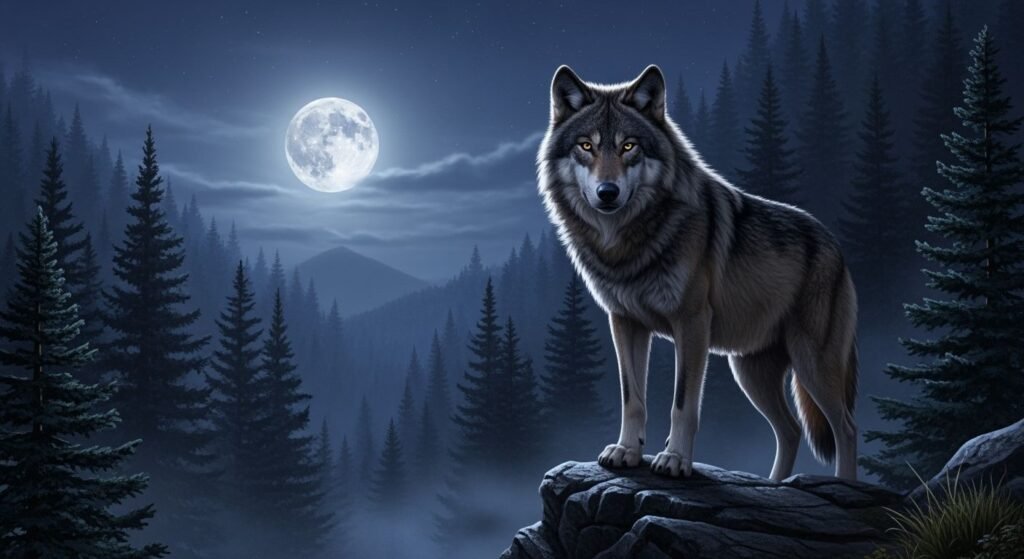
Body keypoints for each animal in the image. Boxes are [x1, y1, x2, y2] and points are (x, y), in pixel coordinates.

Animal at [536, 65, 859, 481]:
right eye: (586, 146)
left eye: (629, 146)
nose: (608, 192)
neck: (628, 242)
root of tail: (837, 248)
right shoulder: (624, 322)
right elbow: (632, 398)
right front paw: (627, 451)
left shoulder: (691, 324)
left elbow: (682, 404)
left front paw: (675, 459)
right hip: (750, 372)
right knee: (790, 429)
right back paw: (773, 485)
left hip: (812, 365)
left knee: (845, 427)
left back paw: (846, 487)